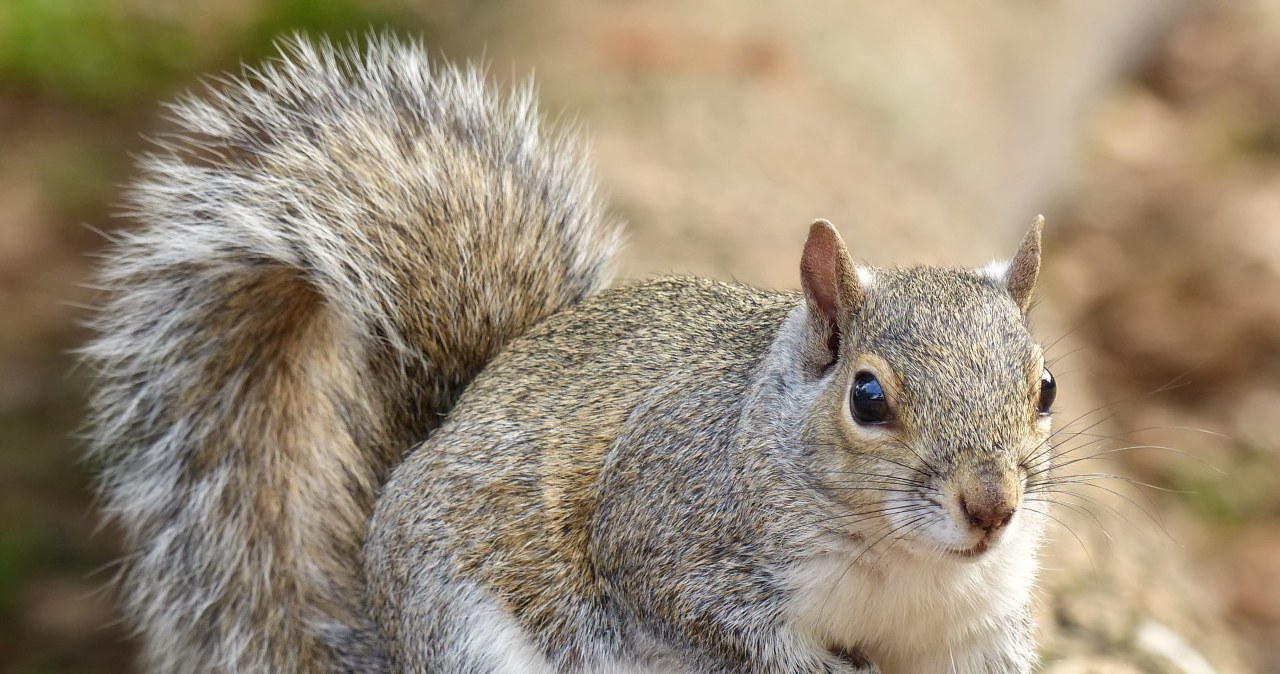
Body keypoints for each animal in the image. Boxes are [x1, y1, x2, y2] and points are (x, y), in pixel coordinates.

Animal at [86, 35, 1058, 674]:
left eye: (1045, 386)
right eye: (867, 398)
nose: (992, 508)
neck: (905, 562)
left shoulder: (973, 632)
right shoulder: (666, 540)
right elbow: (716, 625)